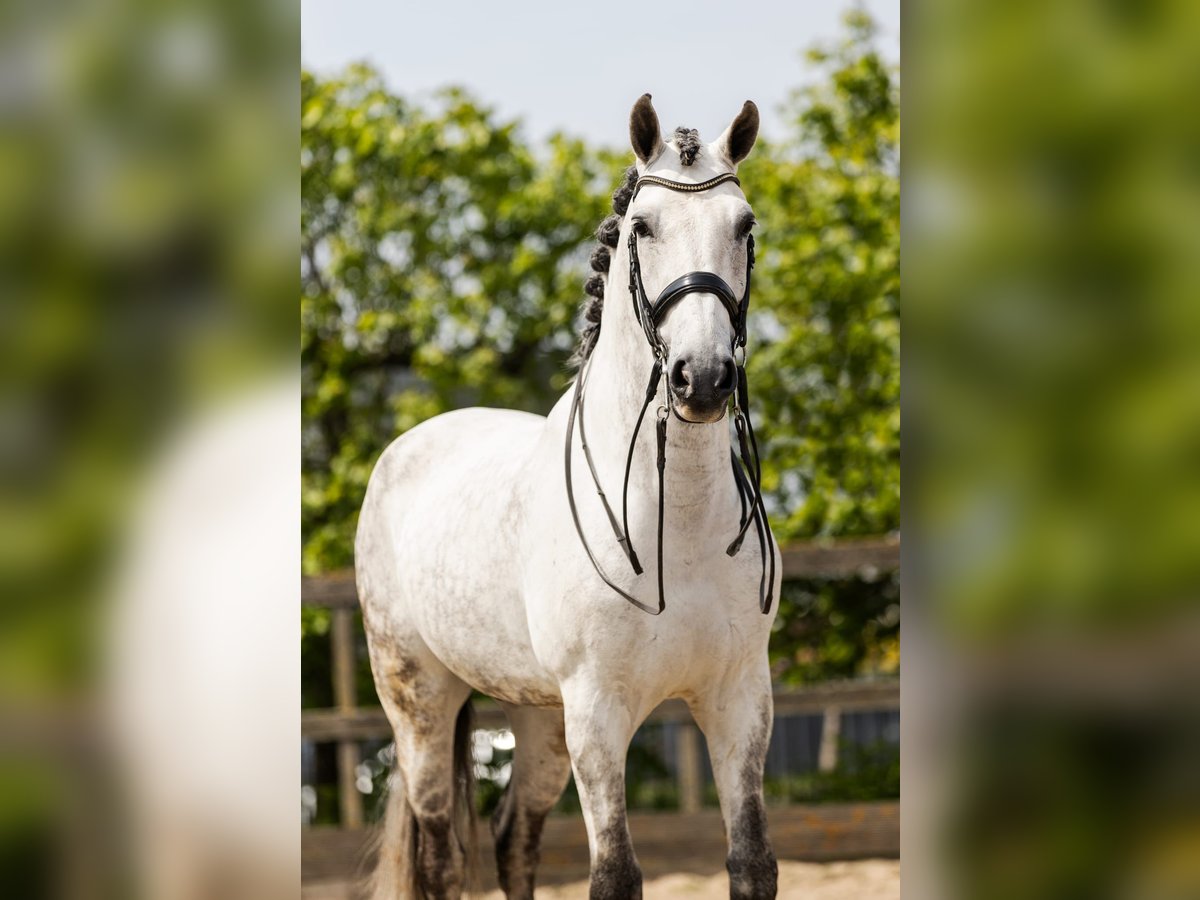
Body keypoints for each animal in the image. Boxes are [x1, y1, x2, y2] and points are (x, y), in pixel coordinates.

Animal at [355, 95, 782, 897]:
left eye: (744, 228)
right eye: (644, 227)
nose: (703, 379)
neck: (674, 525)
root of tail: (403, 449)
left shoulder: (739, 701)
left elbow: (752, 862)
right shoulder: (597, 713)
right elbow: (615, 873)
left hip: (538, 717)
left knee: (512, 838)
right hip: (422, 703)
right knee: (442, 857)